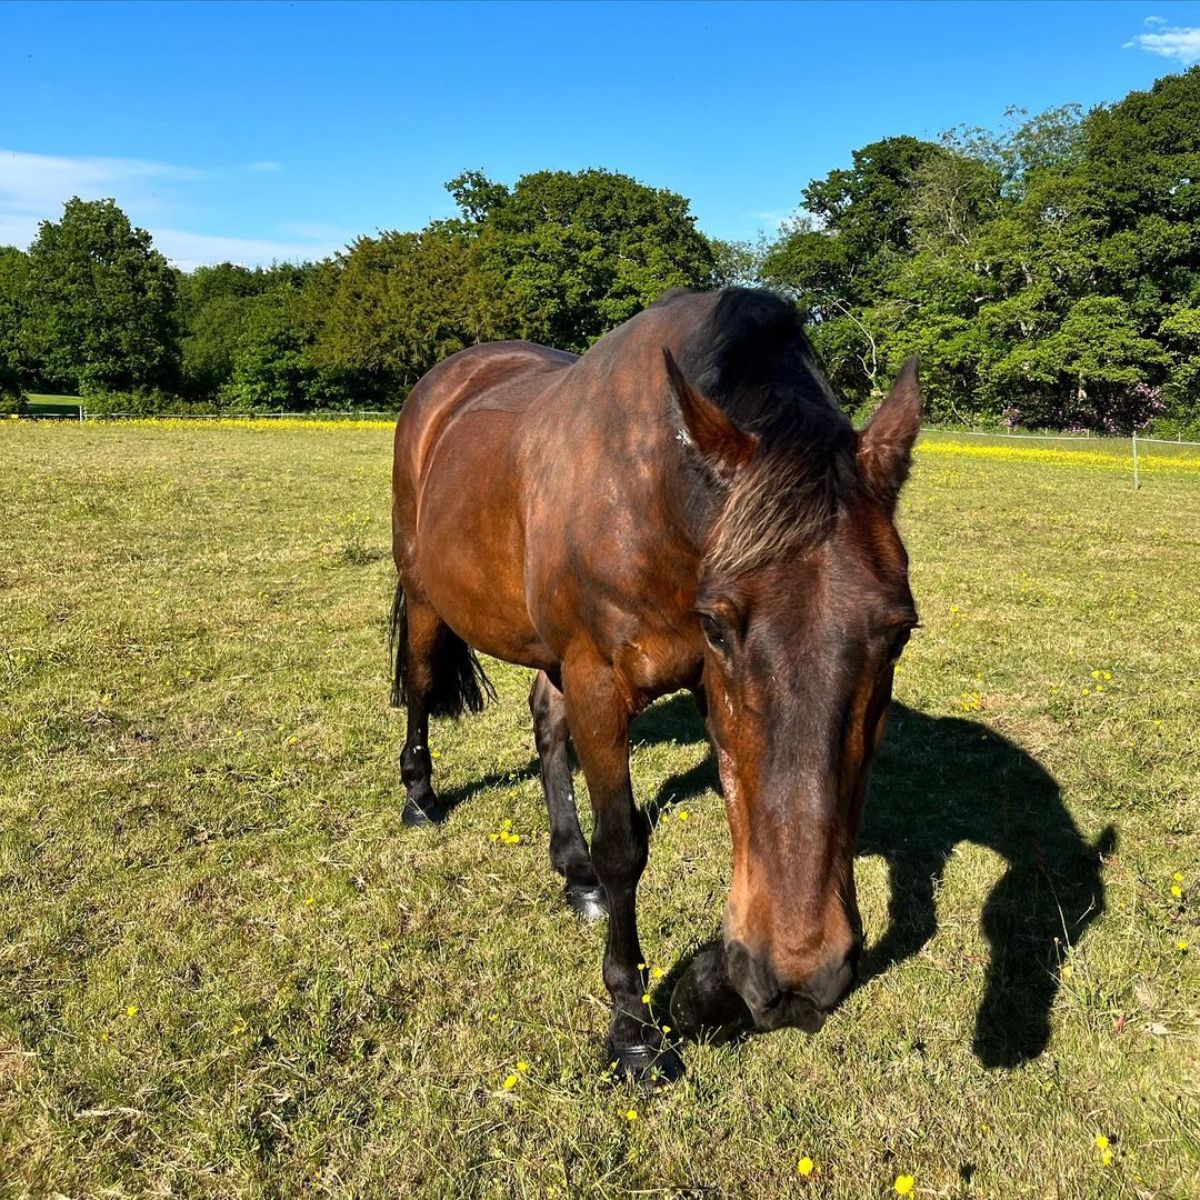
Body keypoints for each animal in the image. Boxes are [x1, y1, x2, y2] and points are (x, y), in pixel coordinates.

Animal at [388, 285, 921, 1084]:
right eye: (719, 625)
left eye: (900, 632)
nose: (803, 974)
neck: (655, 499)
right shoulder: (600, 682)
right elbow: (625, 846)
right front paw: (634, 1028)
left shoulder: (697, 692)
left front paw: (710, 988)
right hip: (426, 595)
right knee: (421, 685)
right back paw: (420, 798)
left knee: (545, 722)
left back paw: (573, 873)